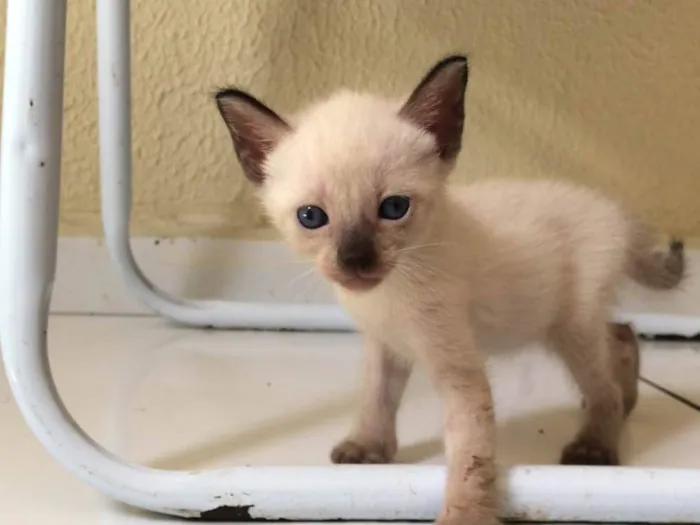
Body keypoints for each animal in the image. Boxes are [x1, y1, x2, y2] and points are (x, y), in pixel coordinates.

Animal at [213, 56, 684, 524]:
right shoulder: (386, 344)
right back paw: (626, 402)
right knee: (621, 334)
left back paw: (596, 444)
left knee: (604, 376)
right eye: (311, 217)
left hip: (570, 327)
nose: (355, 261)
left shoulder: (458, 371)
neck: (388, 295)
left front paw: (460, 516)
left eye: (394, 208)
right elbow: (376, 397)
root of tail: (616, 211)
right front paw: (367, 447)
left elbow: (469, 458)